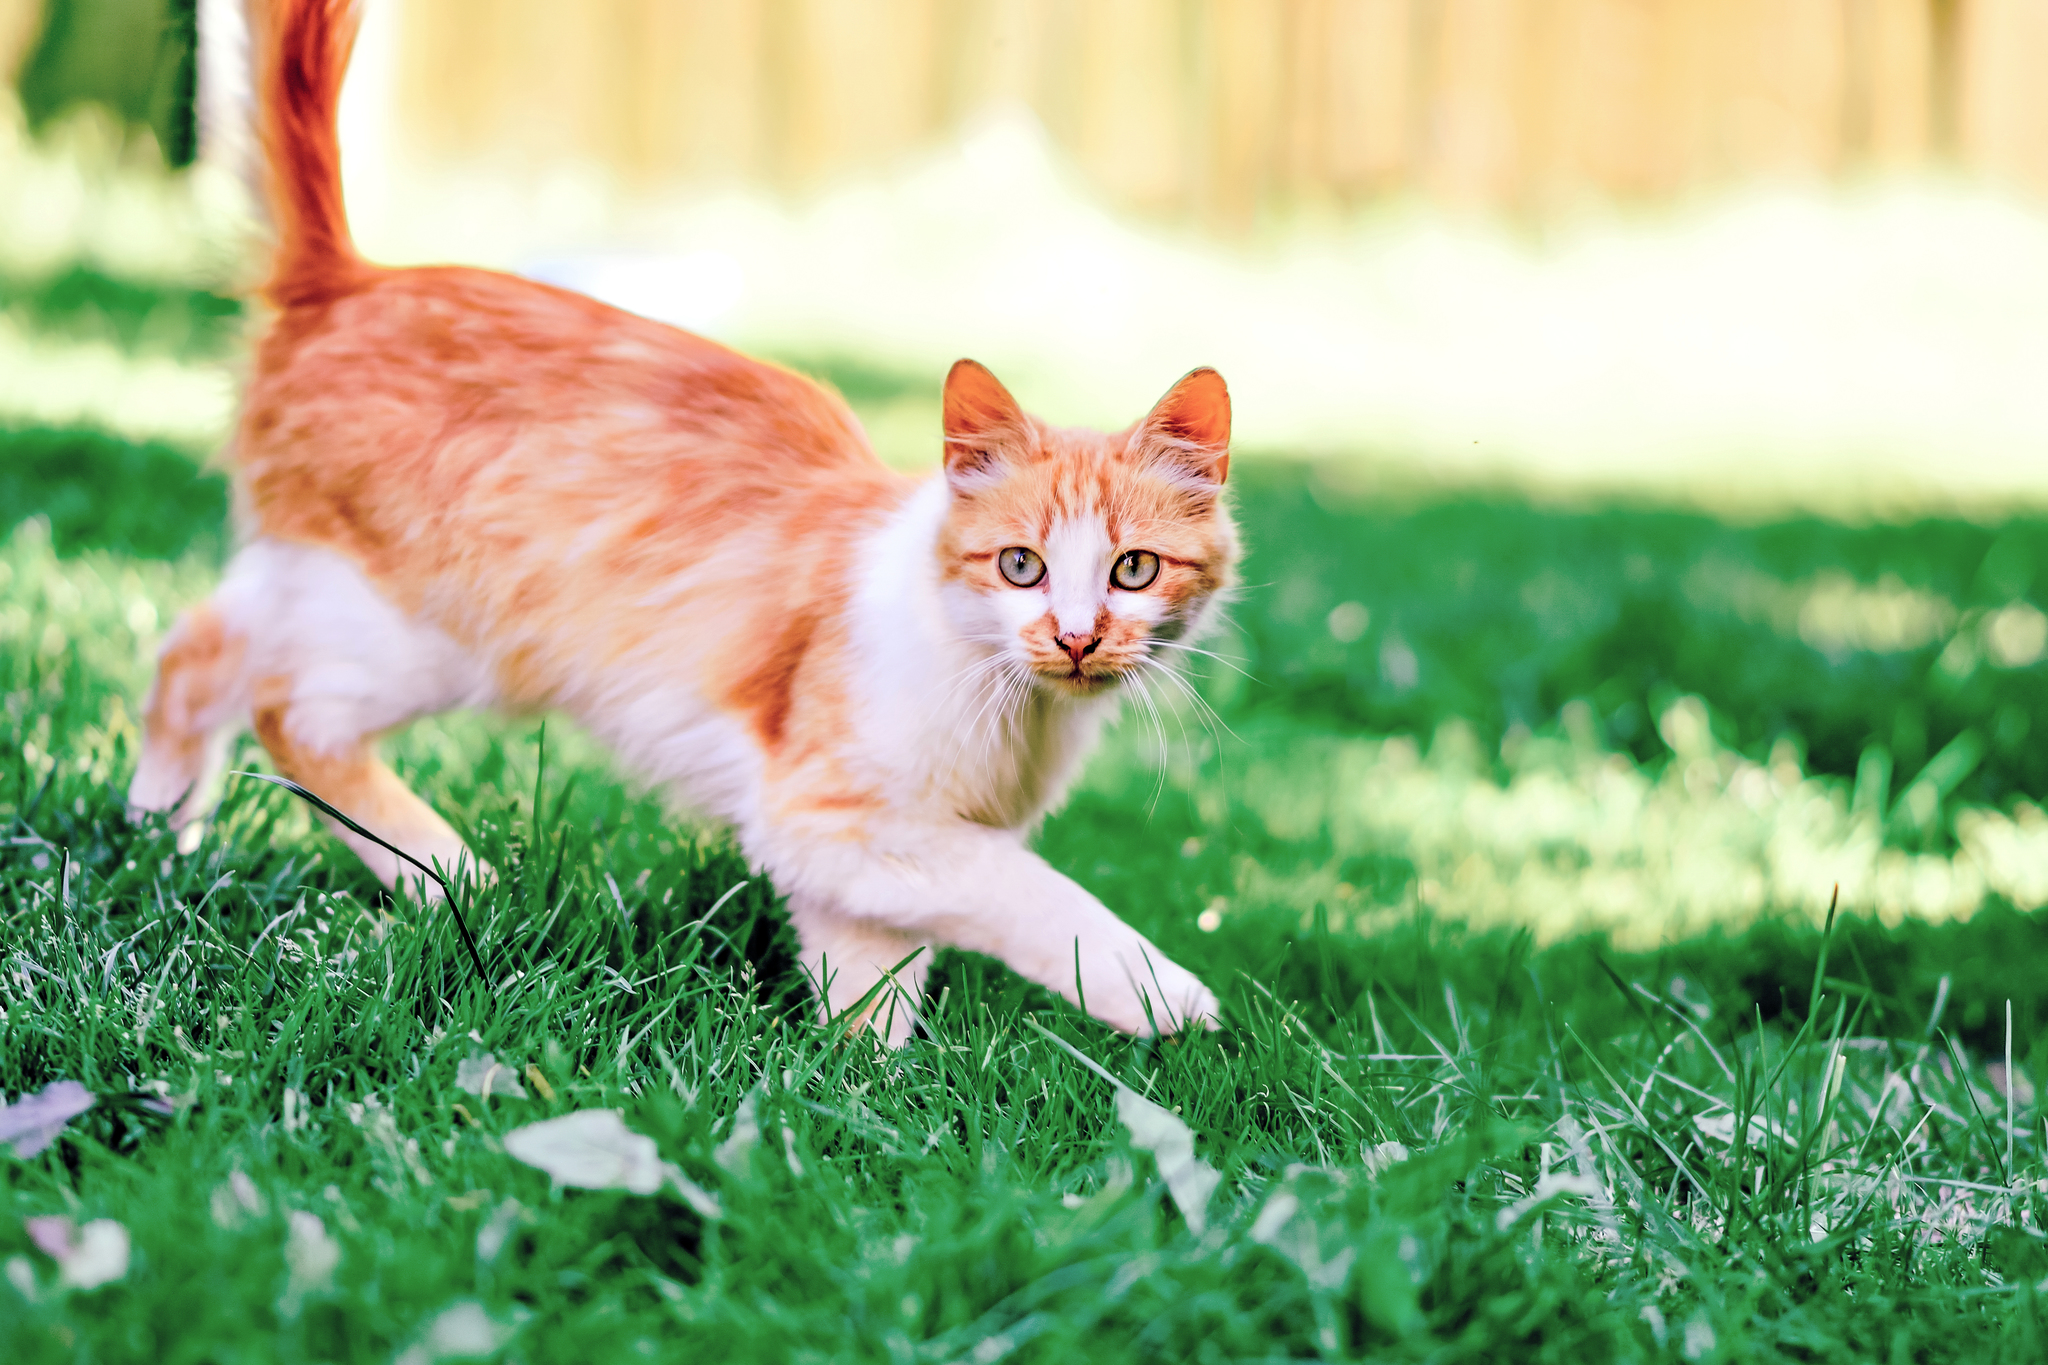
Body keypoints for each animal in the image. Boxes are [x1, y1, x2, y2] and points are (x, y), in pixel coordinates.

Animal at [136, 2, 1236, 1047]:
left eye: (1133, 570)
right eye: (1019, 565)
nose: (1076, 637)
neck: (1013, 709)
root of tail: (350, 277)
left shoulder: (858, 863)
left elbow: (875, 983)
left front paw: (858, 1086)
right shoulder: (828, 815)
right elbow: (1025, 895)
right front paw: (1158, 994)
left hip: (327, 590)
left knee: (191, 651)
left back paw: (158, 835)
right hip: (436, 630)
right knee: (284, 712)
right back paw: (455, 876)